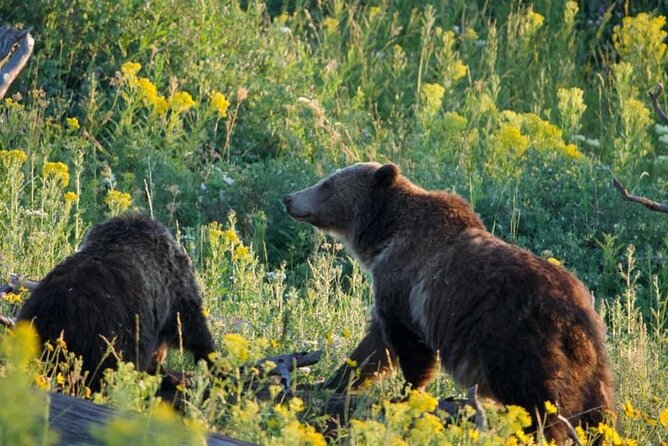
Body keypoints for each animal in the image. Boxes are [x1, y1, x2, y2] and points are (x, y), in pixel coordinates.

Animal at [282, 163, 616, 442]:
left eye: (327, 183)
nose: (289, 198)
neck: (384, 237)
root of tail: (573, 311)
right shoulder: (390, 294)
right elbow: (374, 349)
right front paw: (333, 382)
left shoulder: (406, 287)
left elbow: (409, 348)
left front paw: (407, 393)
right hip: (590, 356)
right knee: (596, 407)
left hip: (515, 339)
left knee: (536, 400)